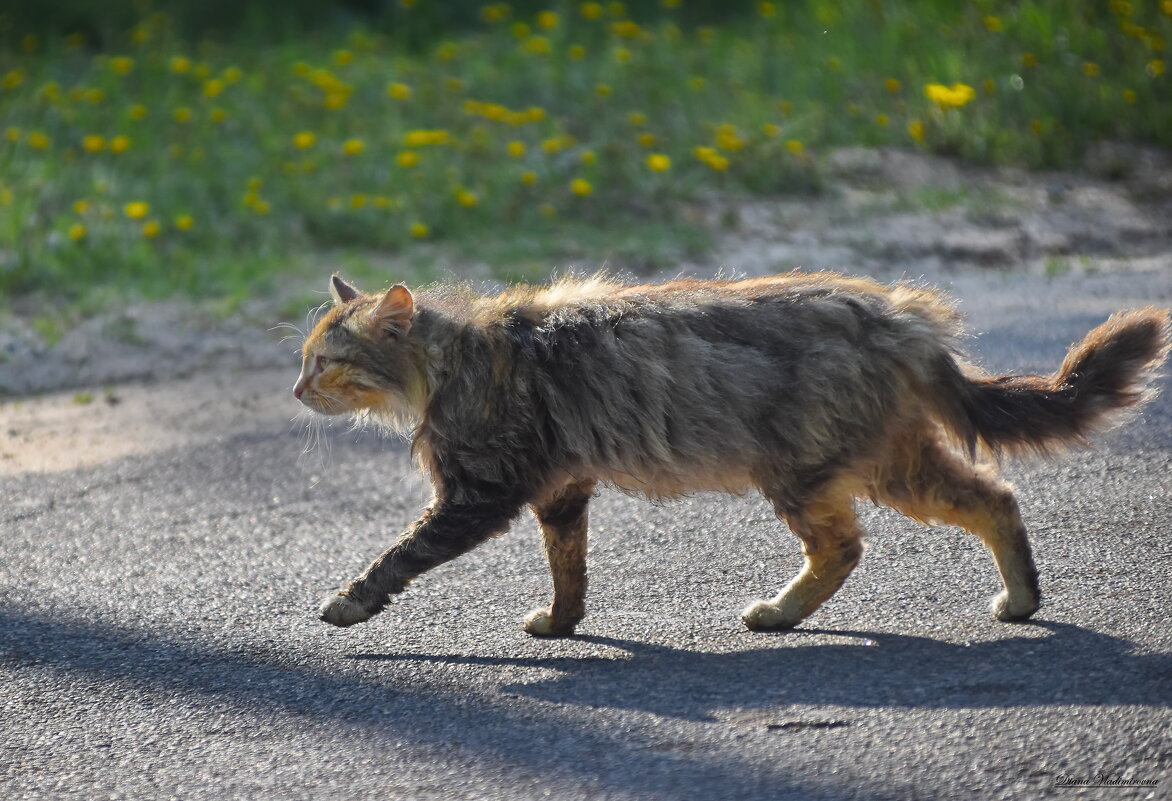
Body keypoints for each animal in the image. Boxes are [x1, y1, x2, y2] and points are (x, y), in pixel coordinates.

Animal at [290, 275, 1162, 637]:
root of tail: (900, 319)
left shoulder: (480, 492)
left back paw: (777, 612)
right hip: (890, 461)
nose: (296, 391)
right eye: (302, 360)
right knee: (993, 496)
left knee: (848, 545)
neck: (453, 358)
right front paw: (564, 624)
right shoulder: (561, 489)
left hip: (811, 470)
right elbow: (569, 568)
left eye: (327, 363)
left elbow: (399, 554)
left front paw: (350, 602)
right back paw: (1021, 599)